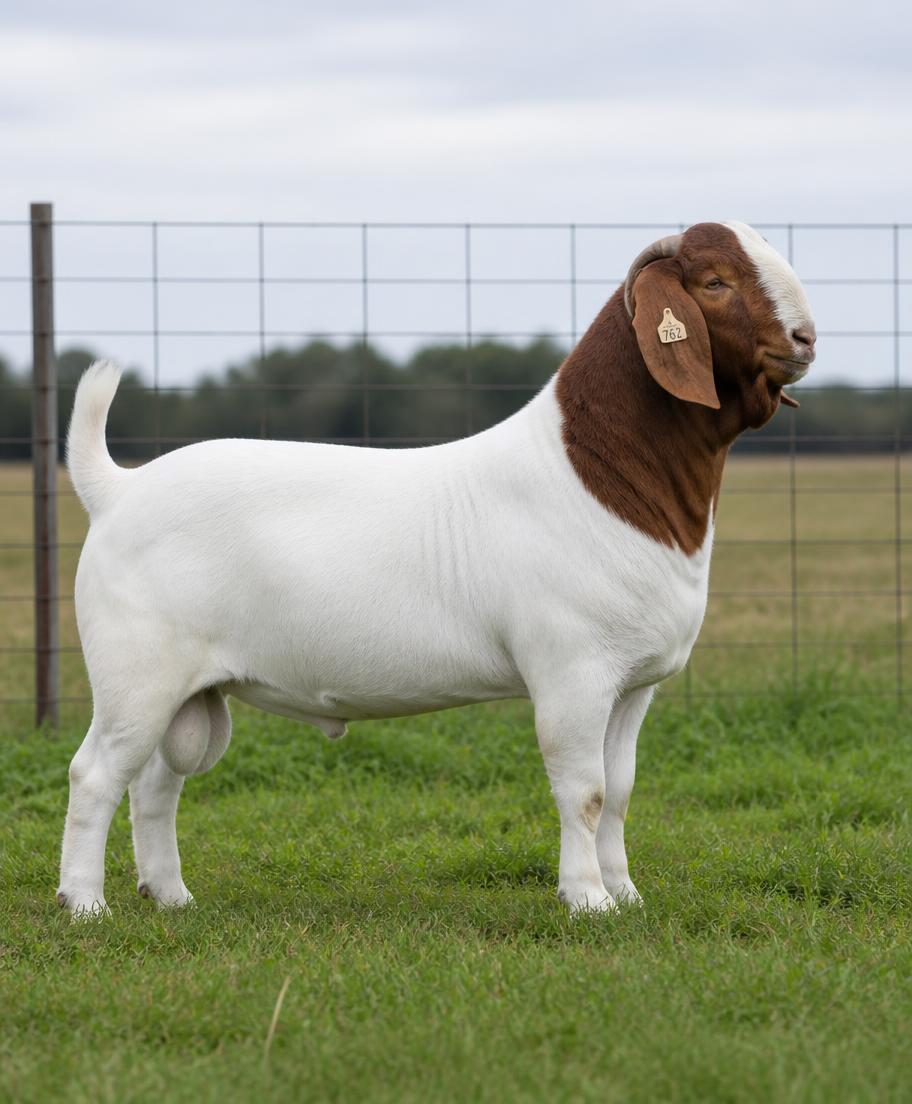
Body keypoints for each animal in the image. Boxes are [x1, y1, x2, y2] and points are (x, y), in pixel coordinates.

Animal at [58, 221, 816, 917]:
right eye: (714, 281)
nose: (806, 337)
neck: (599, 477)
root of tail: (117, 488)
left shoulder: (632, 686)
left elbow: (621, 788)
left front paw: (626, 893)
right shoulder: (572, 672)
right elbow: (585, 789)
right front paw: (588, 900)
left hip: (186, 691)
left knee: (155, 785)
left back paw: (171, 897)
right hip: (135, 675)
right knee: (95, 775)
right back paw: (86, 904)